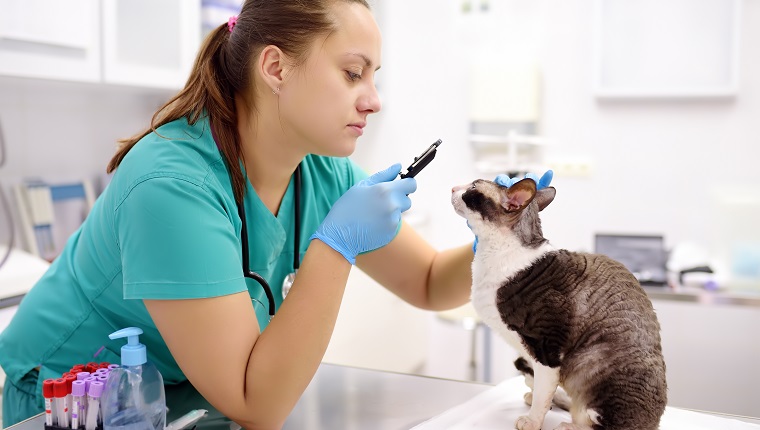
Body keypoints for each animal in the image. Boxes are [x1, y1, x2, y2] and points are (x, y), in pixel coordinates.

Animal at [452, 176, 664, 428]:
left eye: (473, 186)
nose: (453, 188)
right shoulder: (532, 353)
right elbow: (539, 386)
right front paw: (539, 398)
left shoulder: (547, 349)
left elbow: (543, 392)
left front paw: (532, 421)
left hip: (595, 364)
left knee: (601, 424)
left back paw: (568, 425)